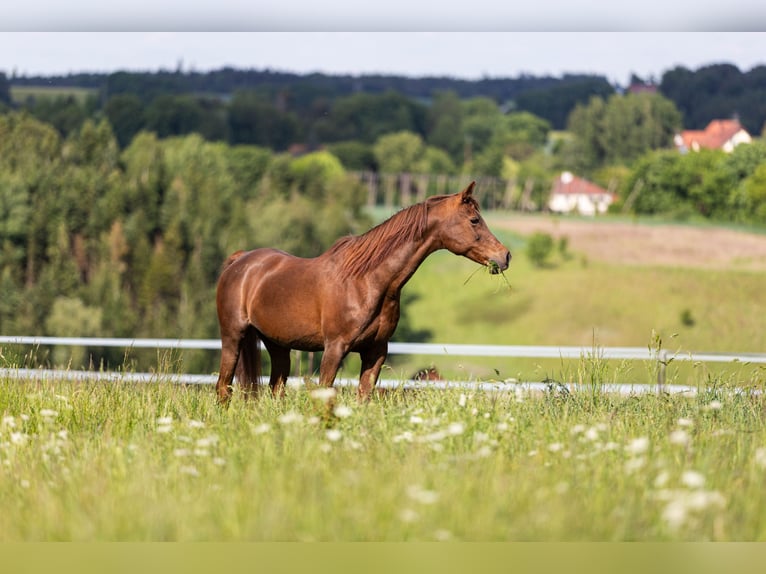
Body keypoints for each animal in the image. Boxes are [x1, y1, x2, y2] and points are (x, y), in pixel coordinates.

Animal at [214, 181, 511, 404]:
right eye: (474, 220)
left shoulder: (375, 351)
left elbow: (363, 398)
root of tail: (241, 262)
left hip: (278, 345)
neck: (366, 282)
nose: (505, 256)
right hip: (233, 337)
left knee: (275, 389)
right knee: (223, 387)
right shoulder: (334, 348)